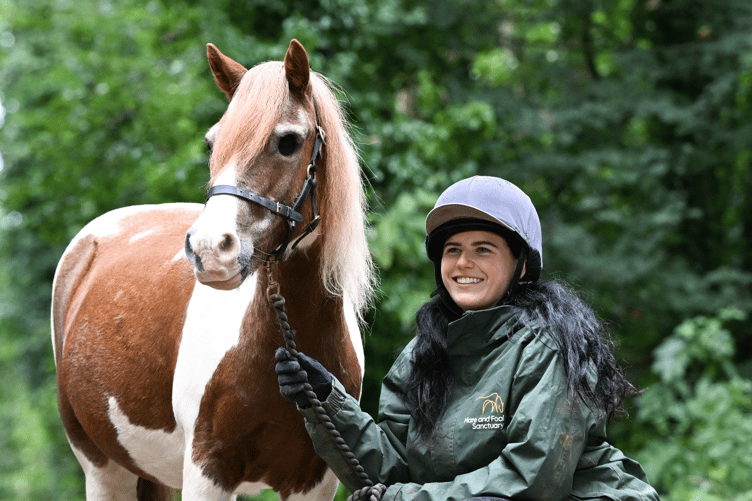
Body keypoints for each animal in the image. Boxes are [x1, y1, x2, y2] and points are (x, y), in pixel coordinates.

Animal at [51, 39, 373, 501]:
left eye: (288, 142)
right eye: (211, 143)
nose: (209, 248)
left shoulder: (314, 480)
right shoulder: (209, 470)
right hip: (104, 469)